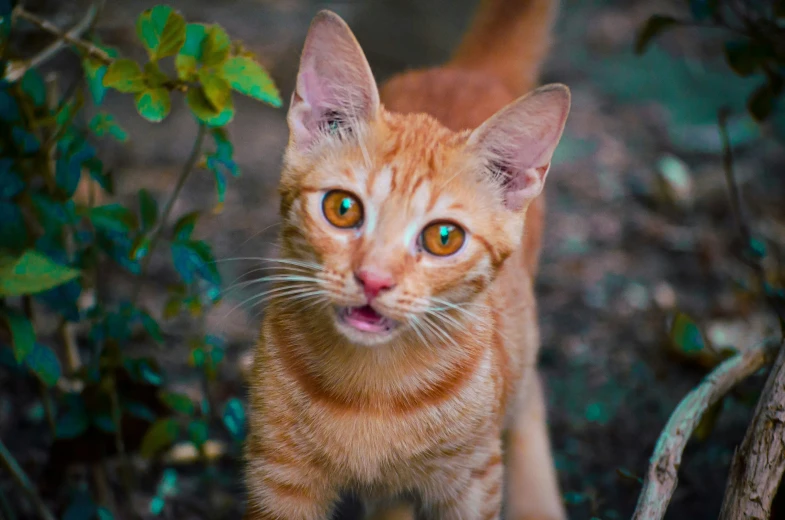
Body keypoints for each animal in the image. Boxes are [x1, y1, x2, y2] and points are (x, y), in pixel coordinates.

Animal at [245, 1, 568, 520]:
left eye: (443, 237)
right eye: (342, 208)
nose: (374, 279)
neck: (373, 391)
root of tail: (466, 72)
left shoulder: (473, 480)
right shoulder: (278, 475)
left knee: (530, 388)